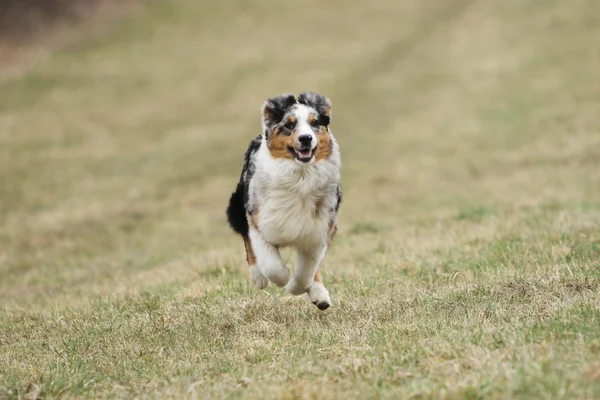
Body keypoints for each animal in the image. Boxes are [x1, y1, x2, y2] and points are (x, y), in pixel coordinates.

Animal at [227, 93, 342, 310]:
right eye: (289, 125)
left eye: (315, 123)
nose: (306, 138)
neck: (300, 177)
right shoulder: (259, 220)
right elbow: (271, 264)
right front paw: (282, 278)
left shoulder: (319, 230)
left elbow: (307, 270)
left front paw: (297, 288)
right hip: (237, 207)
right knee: (246, 240)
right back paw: (258, 277)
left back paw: (320, 294)